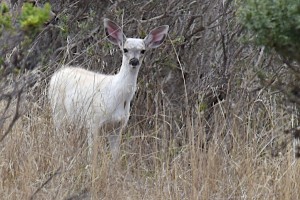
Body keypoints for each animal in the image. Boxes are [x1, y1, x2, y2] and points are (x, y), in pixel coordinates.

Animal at [48, 18, 169, 159]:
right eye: (125, 49)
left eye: (143, 50)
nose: (134, 61)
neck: (118, 96)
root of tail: (55, 75)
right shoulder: (93, 120)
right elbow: (92, 155)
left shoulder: (118, 126)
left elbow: (115, 156)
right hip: (58, 111)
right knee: (59, 136)